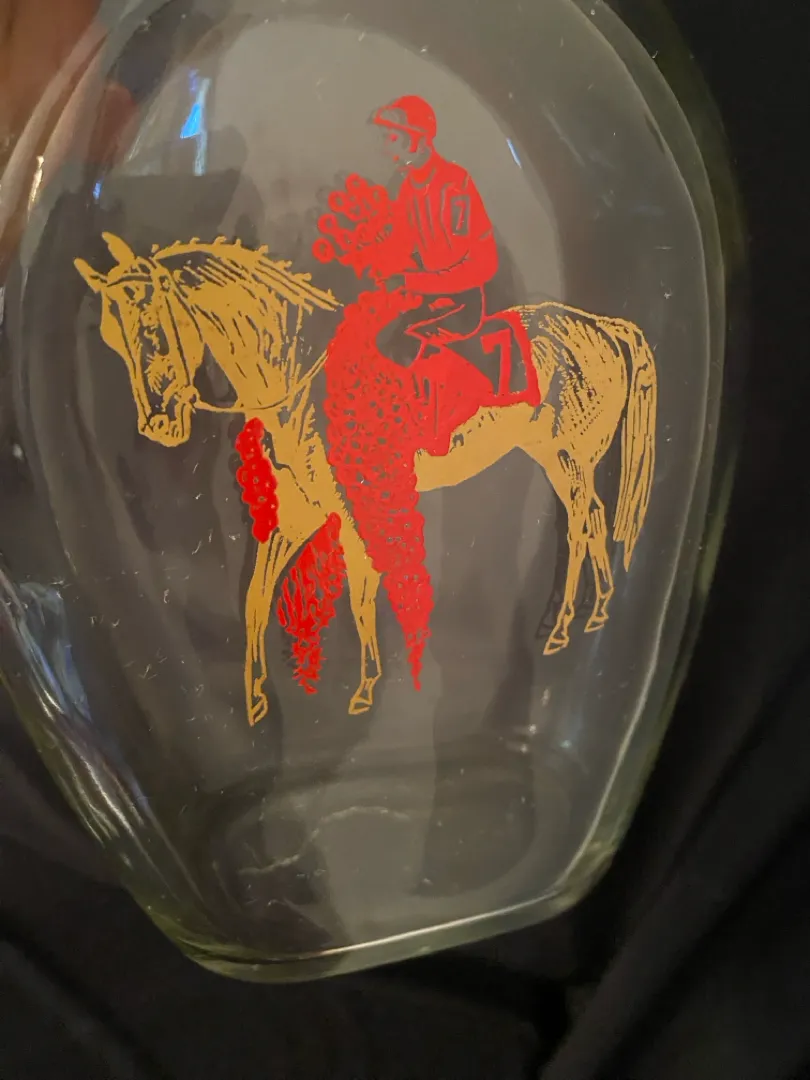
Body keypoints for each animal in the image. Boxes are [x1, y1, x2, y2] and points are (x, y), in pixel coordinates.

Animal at [75, 232, 657, 725]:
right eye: (110, 335)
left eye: (153, 321)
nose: (159, 425)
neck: (304, 377)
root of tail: (599, 326)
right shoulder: (300, 513)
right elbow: (256, 600)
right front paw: (256, 698)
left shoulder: (353, 513)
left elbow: (358, 600)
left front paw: (364, 690)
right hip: (561, 460)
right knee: (594, 520)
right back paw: (598, 611)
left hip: (568, 457)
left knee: (580, 526)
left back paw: (563, 627)